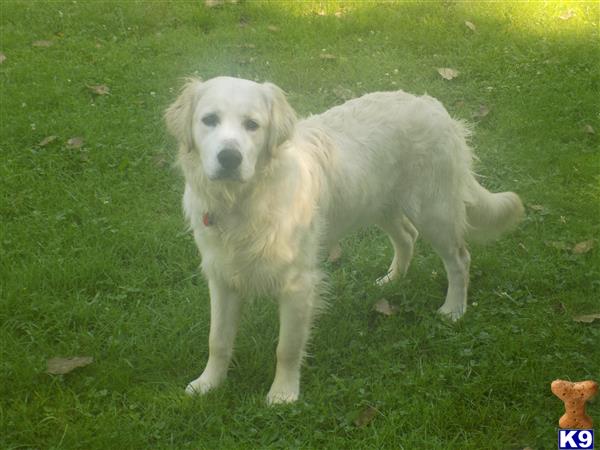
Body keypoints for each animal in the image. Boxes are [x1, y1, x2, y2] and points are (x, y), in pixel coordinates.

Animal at [165, 76, 524, 404]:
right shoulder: (222, 278)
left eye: (252, 125)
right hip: (380, 204)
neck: (241, 201)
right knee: (407, 237)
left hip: (434, 211)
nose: (229, 158)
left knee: (459, 259)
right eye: (209, 120)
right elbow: (218, 340)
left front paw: (283, 394)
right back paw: (391, 280)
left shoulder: (298, 285)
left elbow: (287, 347)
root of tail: (435, 106)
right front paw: (208, 384)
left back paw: (453, 309)